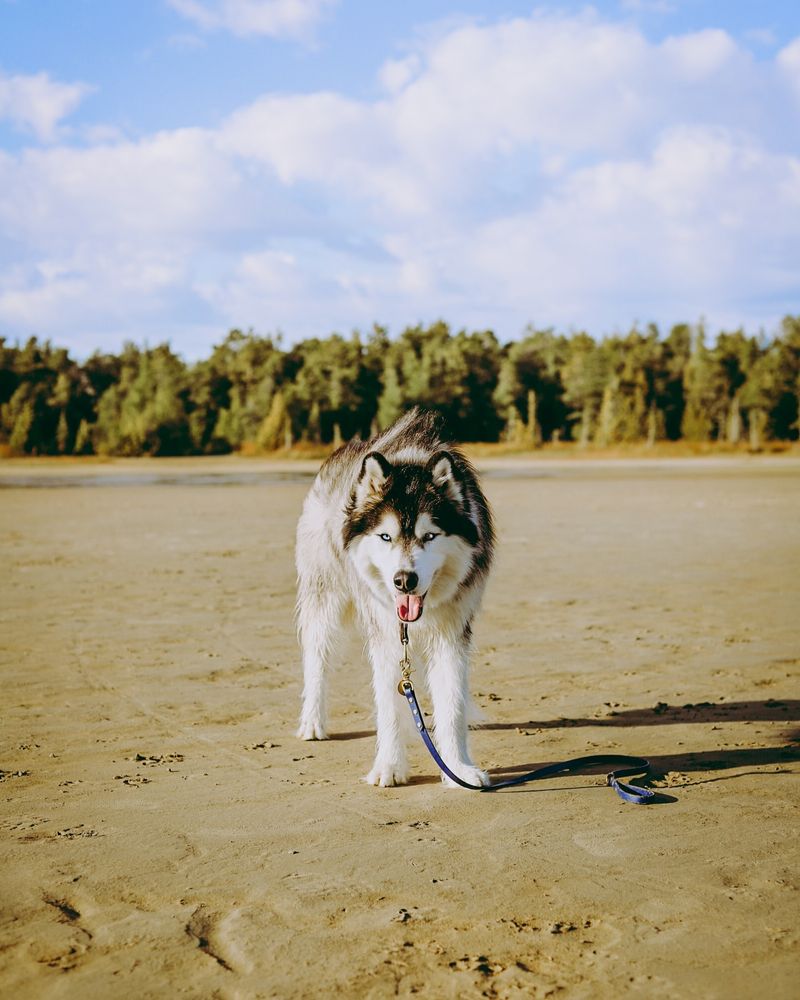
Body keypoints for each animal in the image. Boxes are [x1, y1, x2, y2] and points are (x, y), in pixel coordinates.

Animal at [294, 406, 494, 788]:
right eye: (385, 536)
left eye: (430, 535)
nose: (404, 580)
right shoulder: (386, 635)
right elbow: (388, 704)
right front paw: (388, 766)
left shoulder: (452, 632)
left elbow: (452, 703)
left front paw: (457, 769)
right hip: (324, 596)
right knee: (317, 656)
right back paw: (312, 720)